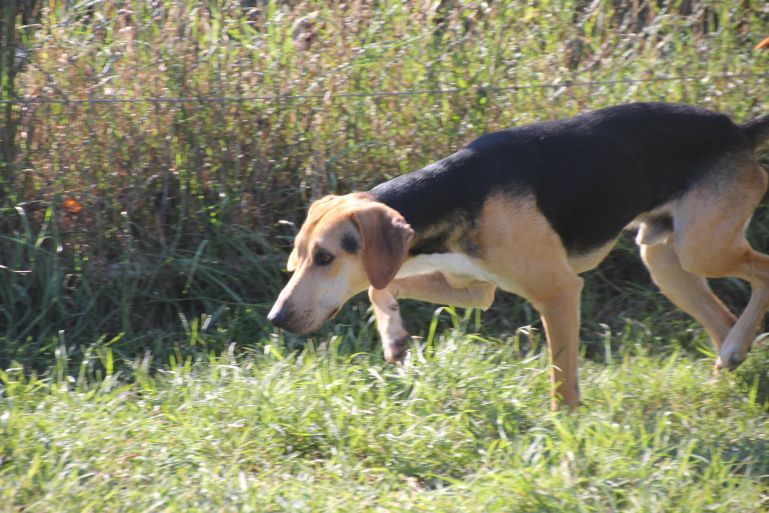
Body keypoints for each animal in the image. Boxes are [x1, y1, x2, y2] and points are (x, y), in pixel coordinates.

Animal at [268, 103, 768, 408]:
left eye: (325, 258)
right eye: (297, 259)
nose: (276, 318)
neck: (452, 193)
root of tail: (736, 131)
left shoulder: (559, 292)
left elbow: (562, 375)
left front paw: (567, 429)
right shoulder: (474, 290)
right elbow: (380, 286)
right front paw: (393, 336)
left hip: (702, 250)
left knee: (762, 272)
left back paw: (736, 348)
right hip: (666, 261)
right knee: (721, 319)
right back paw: (727, 365)